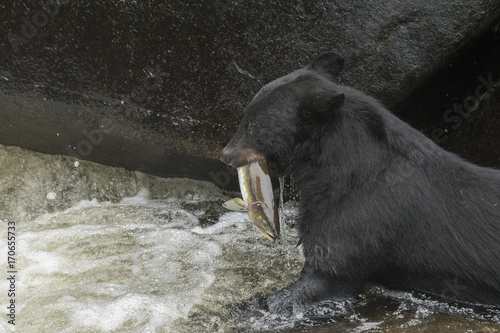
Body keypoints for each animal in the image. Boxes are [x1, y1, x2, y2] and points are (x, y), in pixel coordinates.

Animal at [222, 52, 500, 314]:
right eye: (246, 115)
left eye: (254, 125)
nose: (225, 155)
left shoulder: (357, 218)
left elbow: (326, 273)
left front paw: (251, 305)